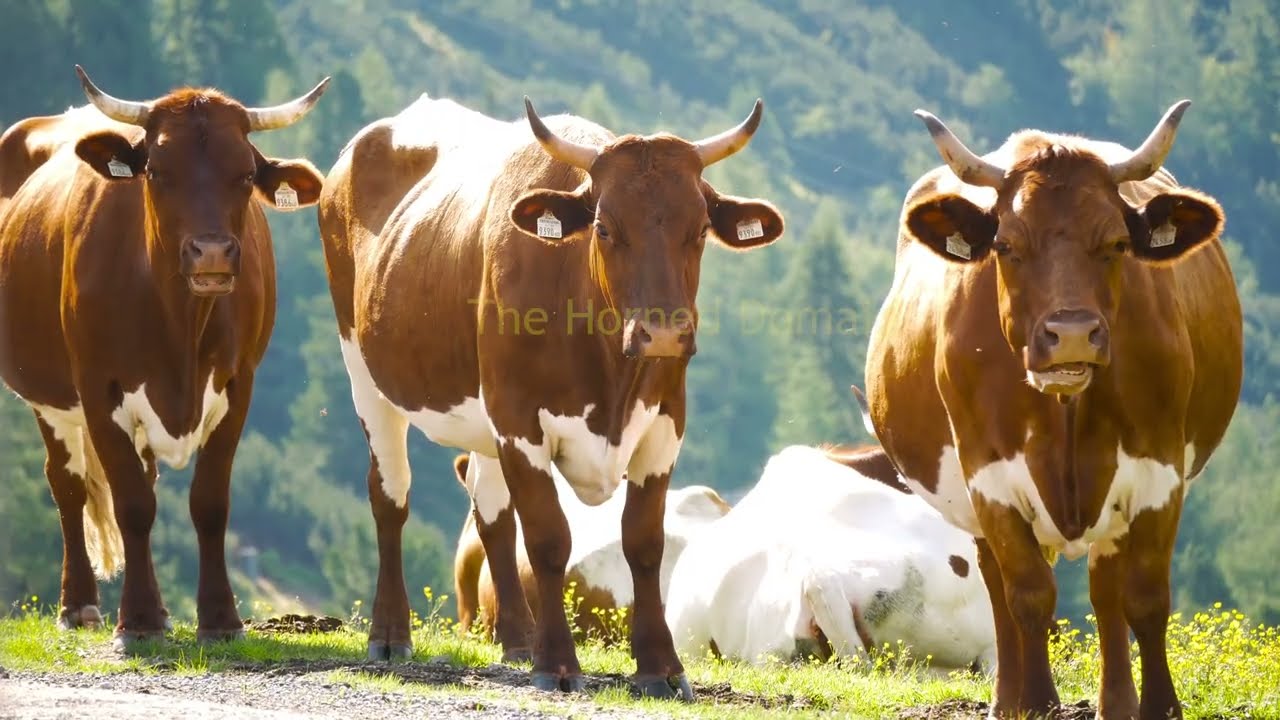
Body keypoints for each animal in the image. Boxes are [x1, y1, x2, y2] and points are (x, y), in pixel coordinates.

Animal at [0, 66, 328, 647]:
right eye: (156, 171)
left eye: (246, 174)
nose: (212, 253)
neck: (180, 325)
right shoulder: (97, 388)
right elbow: (132, 502)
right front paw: (139, 621)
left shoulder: (238, 385)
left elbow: (209, 502)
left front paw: (219, 618)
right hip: (48, 397)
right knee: (67, 485)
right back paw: (79, 605)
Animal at [863, 101, 1242, 719]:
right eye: (1007, 247)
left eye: (1116, 244)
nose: (1071, 335)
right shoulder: (988, 475)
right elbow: (1027, 594)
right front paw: (1037, 703)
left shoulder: (1160, 471)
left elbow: (1145, 596)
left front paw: (1161, 706)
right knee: (998, 587)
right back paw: (1007, 700)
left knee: (1105, 586)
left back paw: (1116, 701)